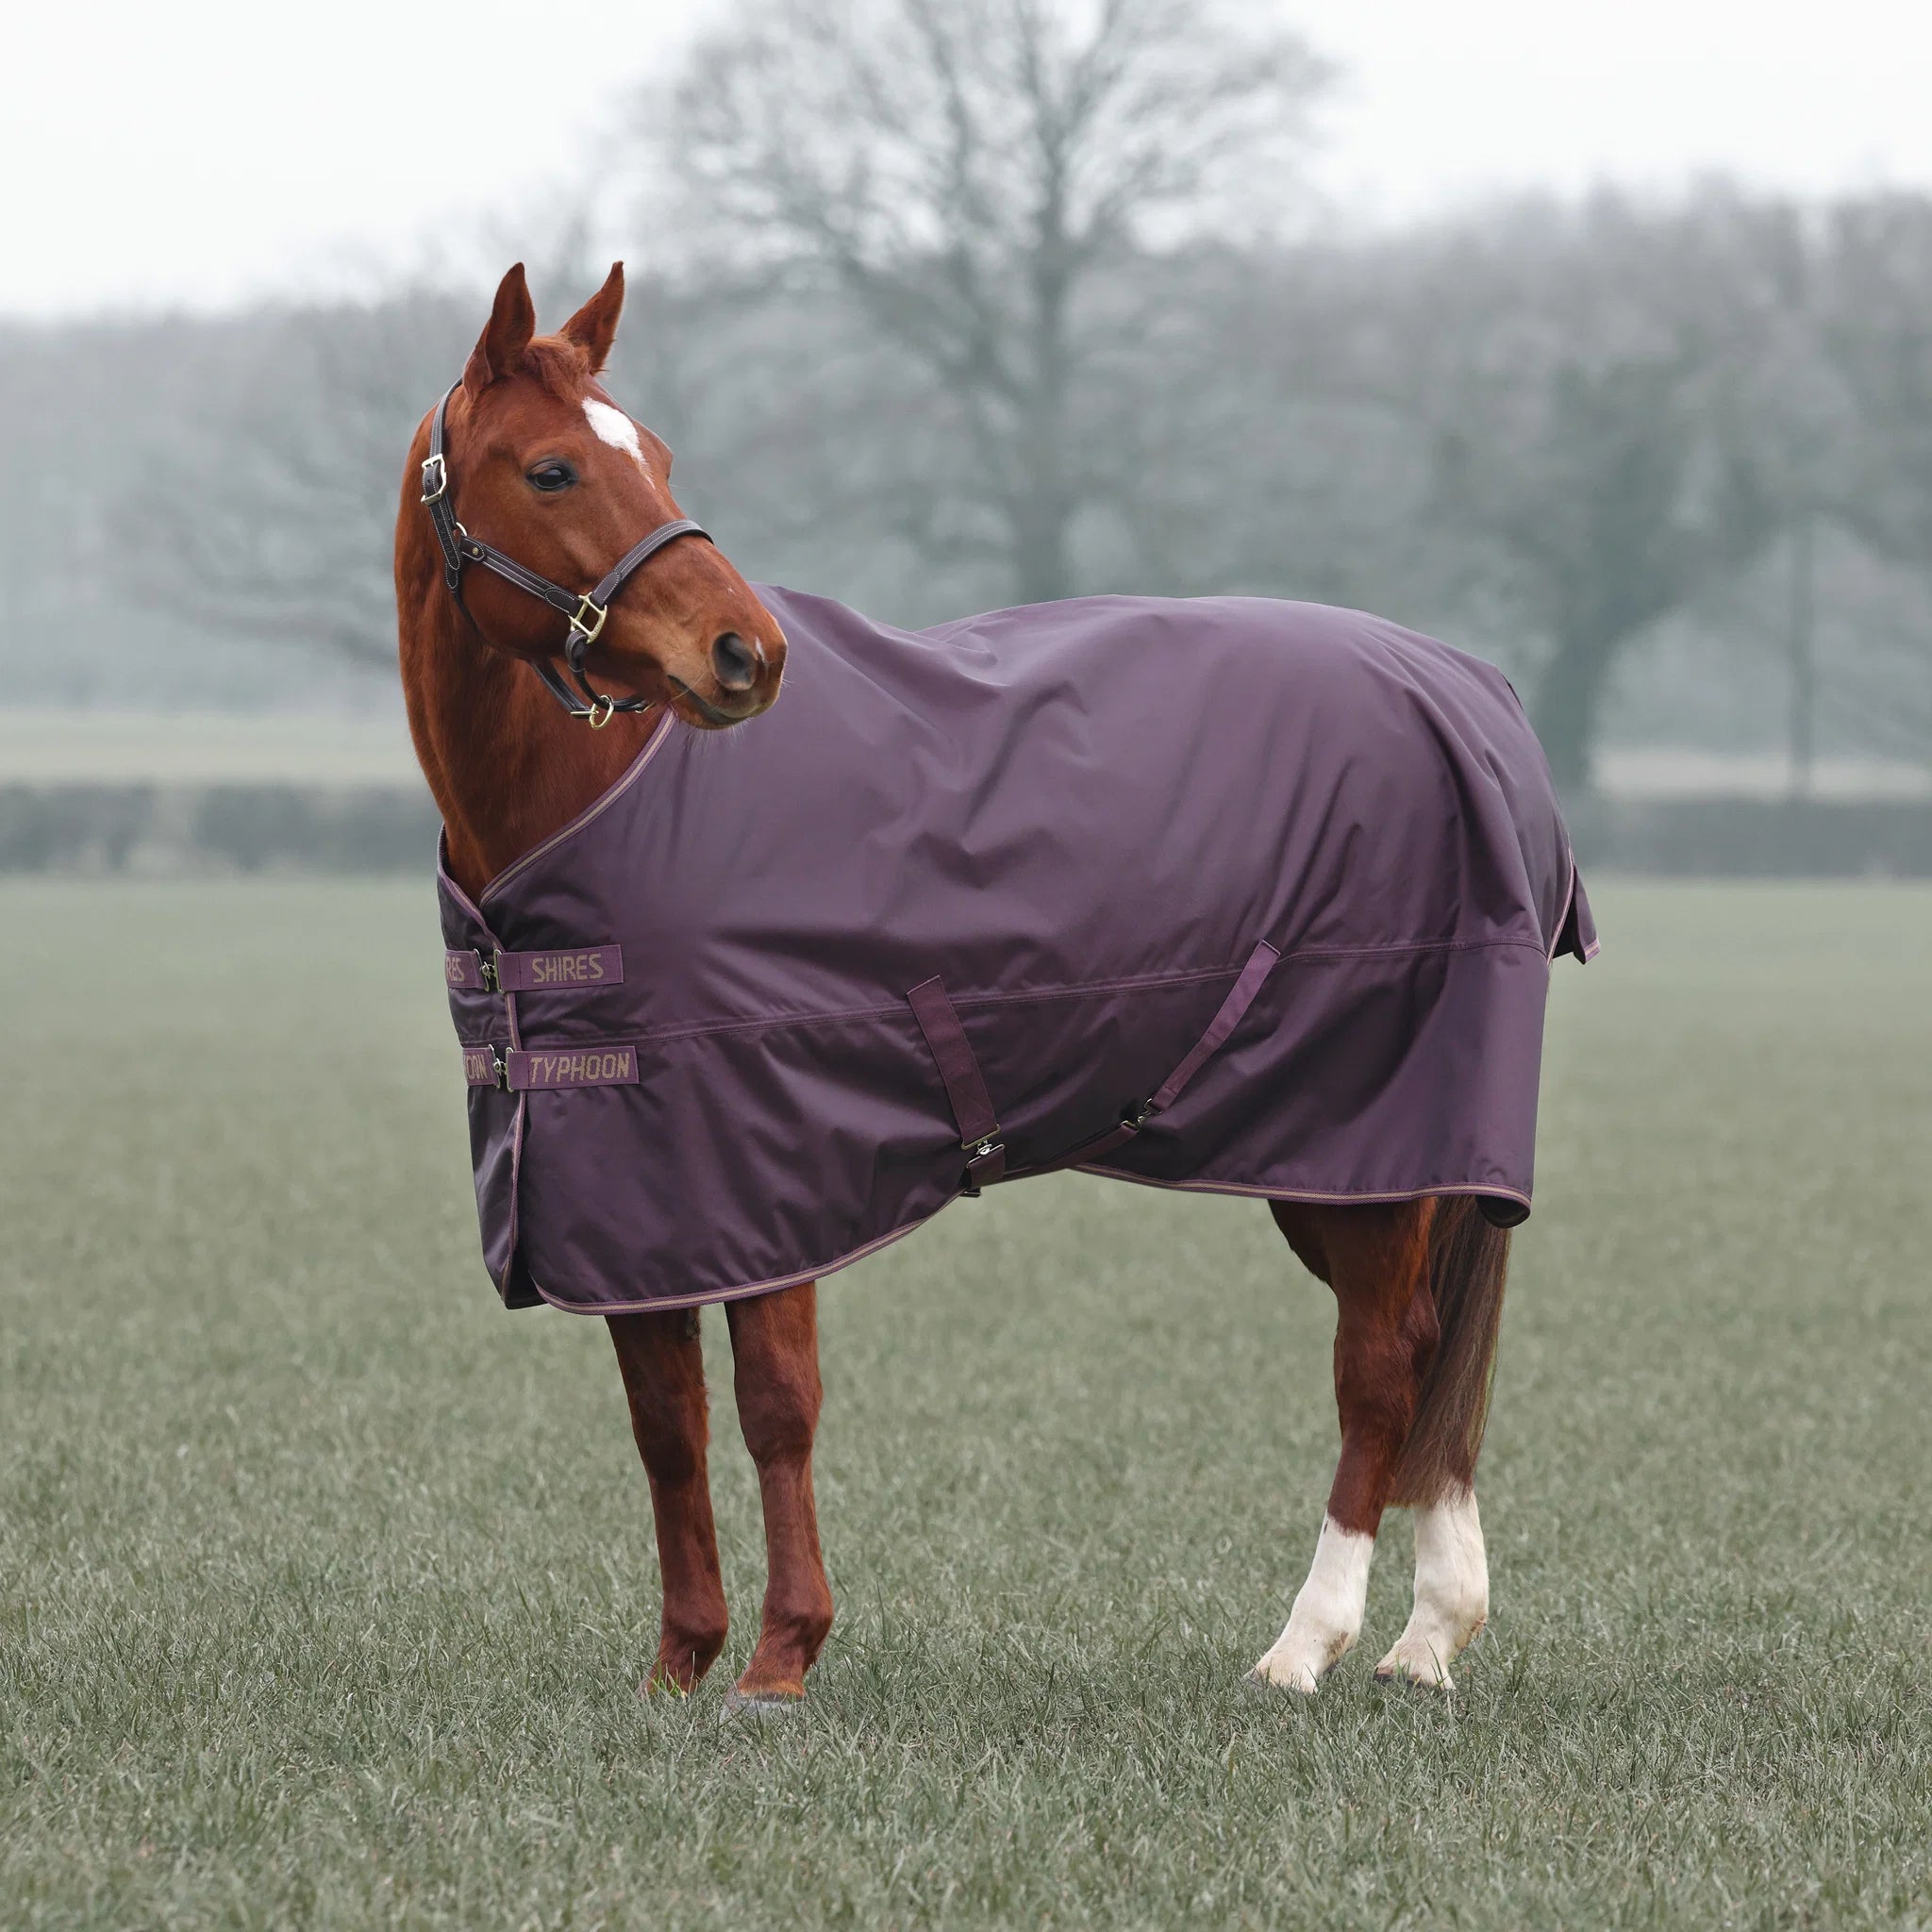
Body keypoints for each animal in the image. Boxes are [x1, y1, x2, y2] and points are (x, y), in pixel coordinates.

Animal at [396, 262, 1584, 1710]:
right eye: (555, 468)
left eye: (658, 457)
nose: (747, 654)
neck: (607, 803)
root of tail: (1476, 700)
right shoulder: (640, 1199)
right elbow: (665, 1426)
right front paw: (681, 1662)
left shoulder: (766, 1175)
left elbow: (775, 1408)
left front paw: (780, 1661)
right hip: (1361, 1164)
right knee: (1425, 1360)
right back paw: (1428, 1636)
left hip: (1365, 1149)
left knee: (1380, 1366)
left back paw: (1307, 1645)